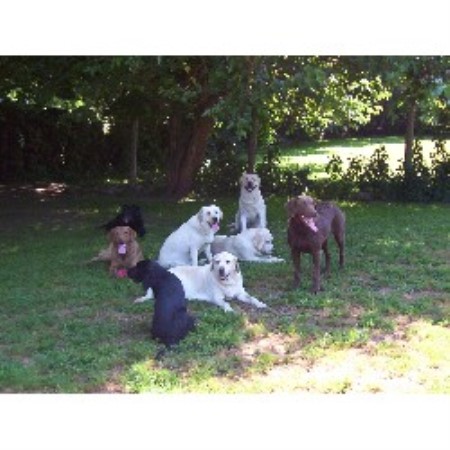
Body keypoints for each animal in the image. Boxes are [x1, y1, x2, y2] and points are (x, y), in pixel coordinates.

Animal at [135, 251, 266, 312]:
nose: (221, 270)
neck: (228, 282)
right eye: (217, 262)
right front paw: (229, 309)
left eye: (228, 262)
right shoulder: (217, 298)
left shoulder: (241, 294)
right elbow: (226, 303)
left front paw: (260, 304)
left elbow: (252, 298)